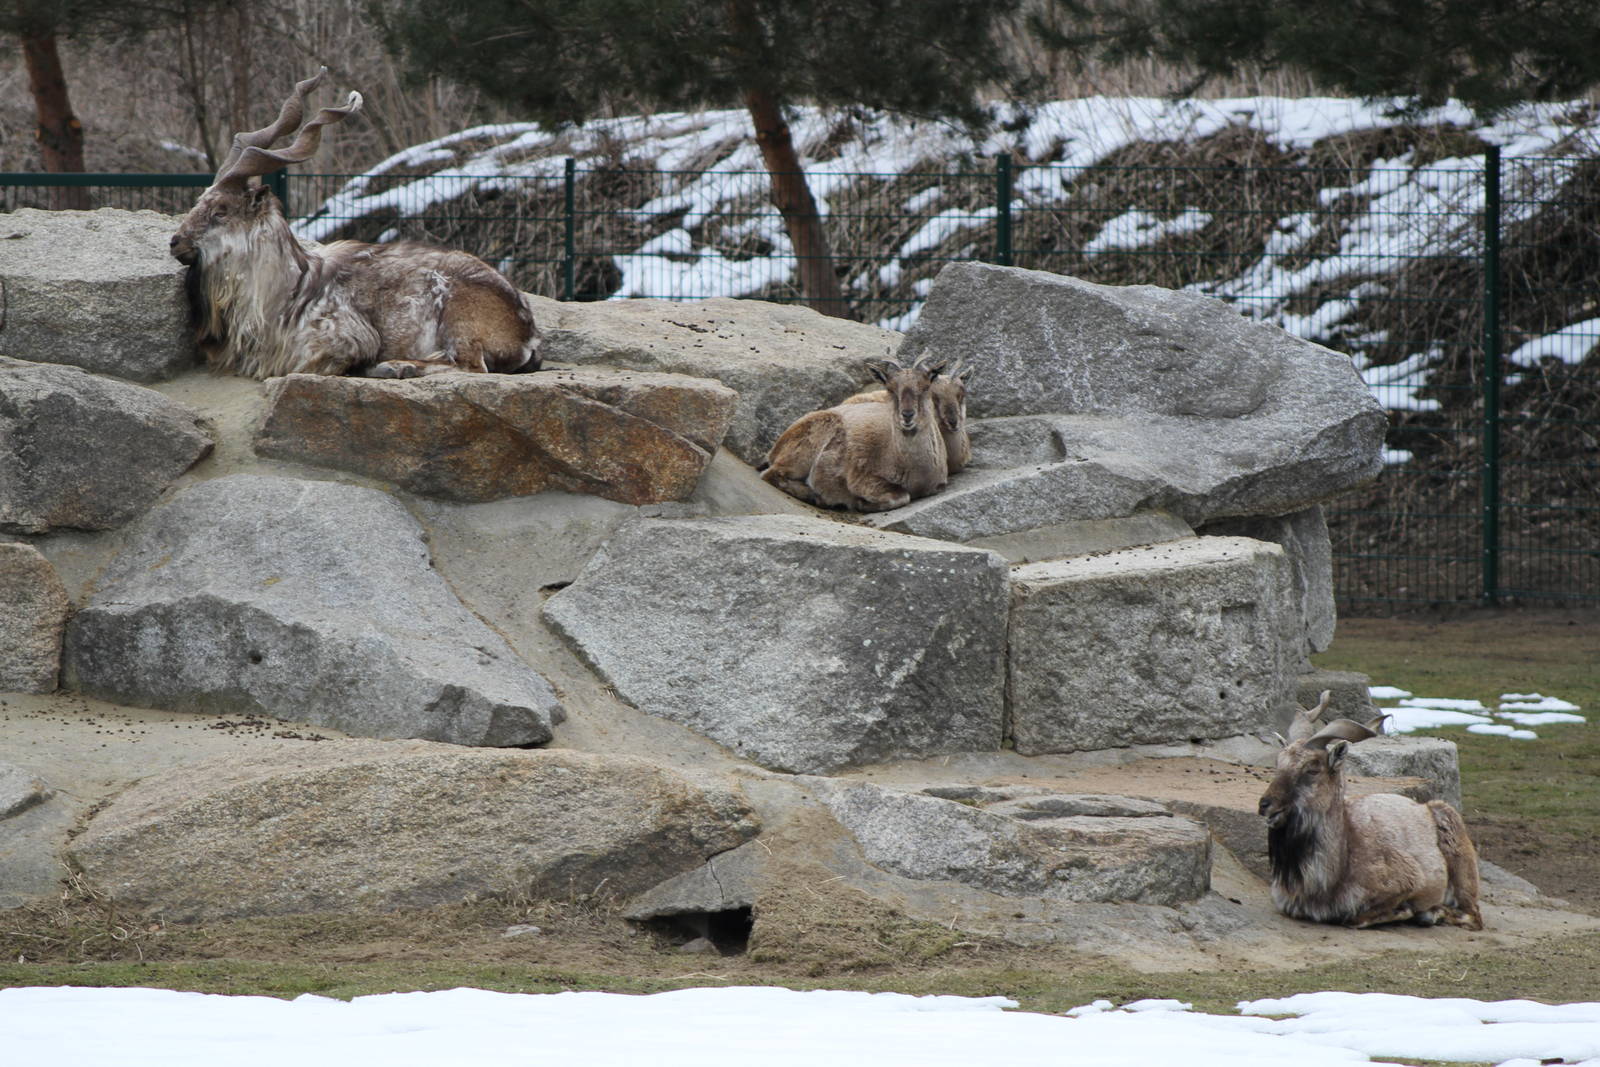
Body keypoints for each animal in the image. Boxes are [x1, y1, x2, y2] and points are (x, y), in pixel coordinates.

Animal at [170, 69, 539, 380]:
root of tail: (527, 331)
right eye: (201, 200)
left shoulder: (342, 338)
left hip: (459, 317)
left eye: (221, 211)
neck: (288, 290)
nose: (176, 242)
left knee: (471, 365)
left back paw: (394, 366)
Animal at [760, 353, 949, 511]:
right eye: (890, 389)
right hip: (806, 448)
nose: (908, 415)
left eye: (926, 387)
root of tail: (775, 448)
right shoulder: (862, 478)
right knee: (771, 474)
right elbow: (901, 496)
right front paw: (860, 503)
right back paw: (816, 496)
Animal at [1258, 690, 1483, 930]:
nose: (1265, 805)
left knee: (1472, 915)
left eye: (1312, 769)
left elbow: (1355, 918)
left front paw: (1405, 911)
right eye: (1278, 763)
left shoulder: (1408, 882)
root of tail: (1424, 806)